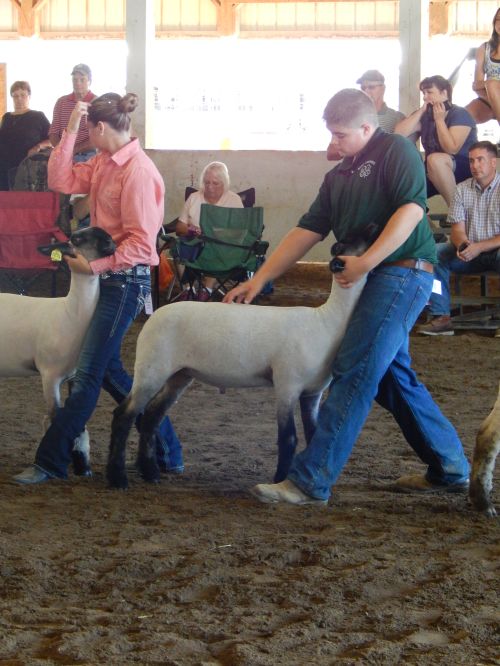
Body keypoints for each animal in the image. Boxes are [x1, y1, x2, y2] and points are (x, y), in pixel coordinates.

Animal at [0, 228, 115, 472]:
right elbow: (54, 417)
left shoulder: (73, 376)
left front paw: (83, 463)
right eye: (78, 238)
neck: (70, 313)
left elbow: (78, 422)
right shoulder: (49, 375)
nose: (112, 242)